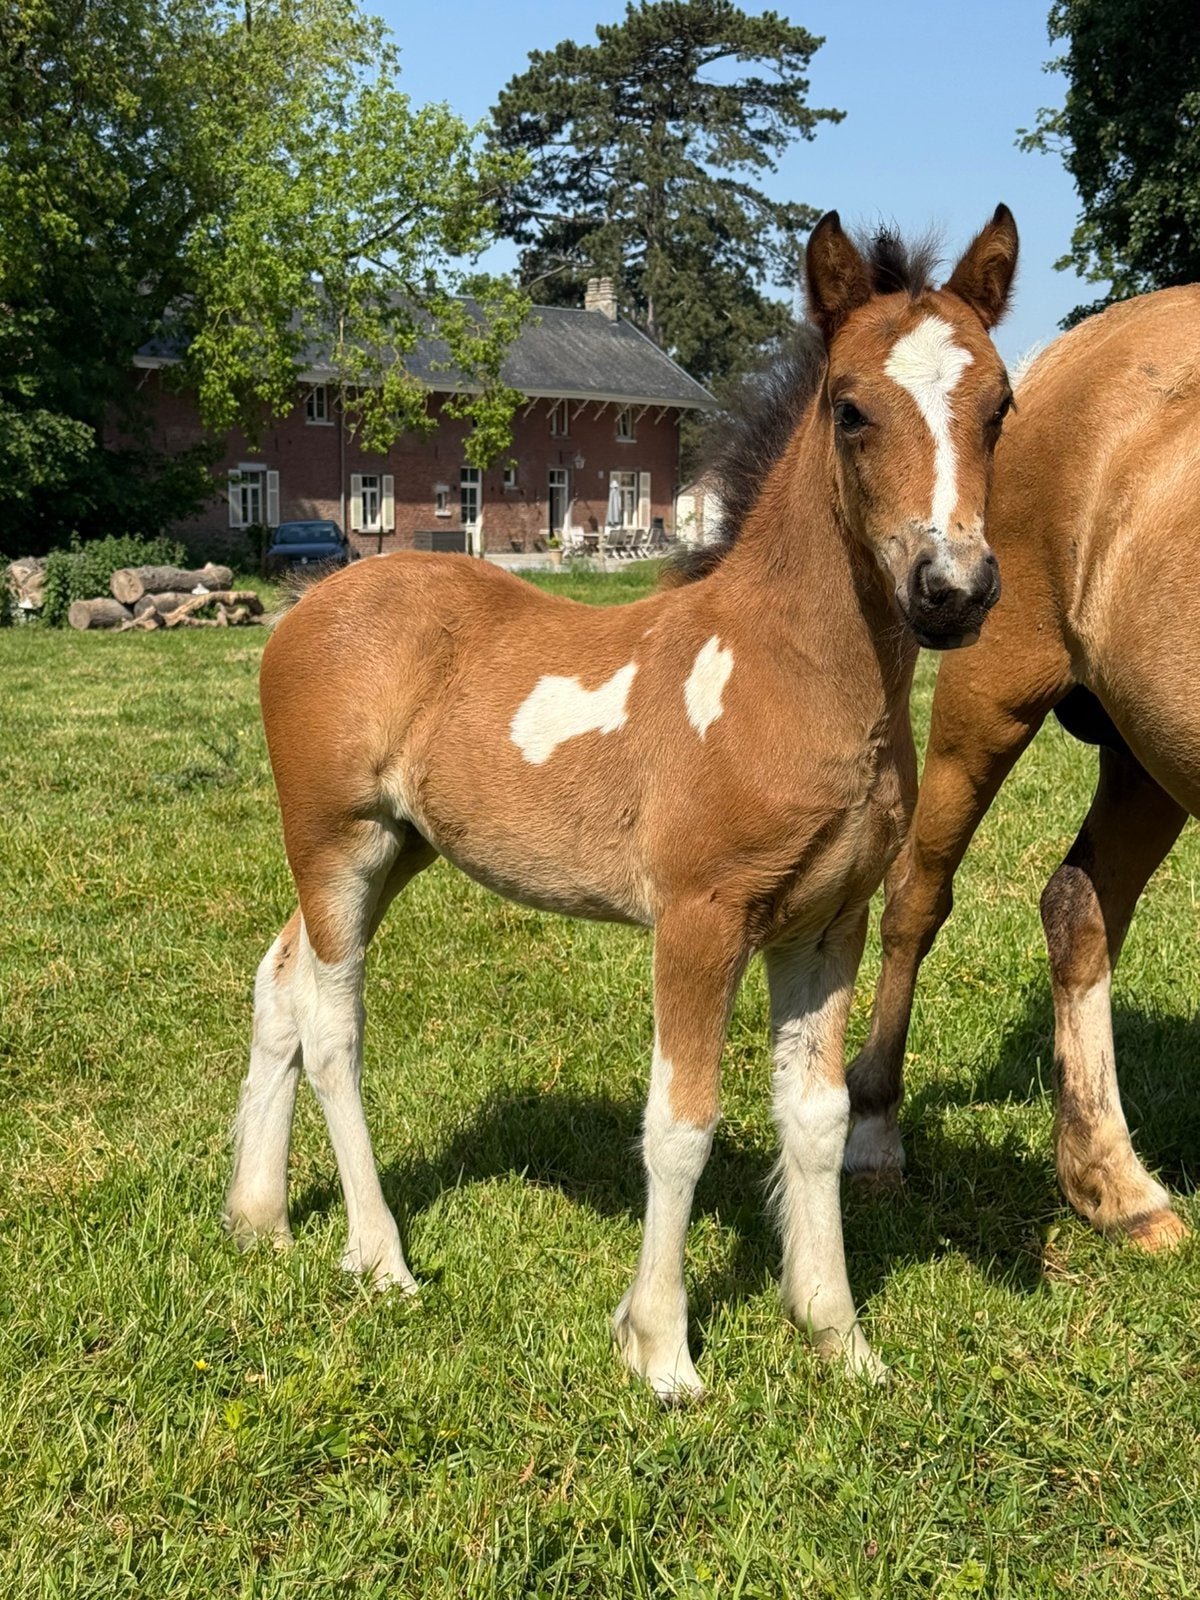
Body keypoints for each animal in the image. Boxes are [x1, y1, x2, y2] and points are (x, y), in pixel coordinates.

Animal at [225, 206, 1020, 1398]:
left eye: (1001, 405)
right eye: (850, 408)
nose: (953, 592)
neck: (780, 675)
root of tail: (309, 603)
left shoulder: (827, 925)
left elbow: (819, 1118)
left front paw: (839, 1338)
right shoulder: (699, 920)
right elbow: (682, 1122)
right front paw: (662, 1350)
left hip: (397, 848)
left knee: (280, 985)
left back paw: (261, 1217)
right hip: (336, 842)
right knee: (331, 1024)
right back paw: (381, 1259)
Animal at [844, 285, 1200, 1254]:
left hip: (1145, 752)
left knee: (1079, 906)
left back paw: (1110, 1180)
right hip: (991, 696)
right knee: (916, 895)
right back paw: (873, 1136)